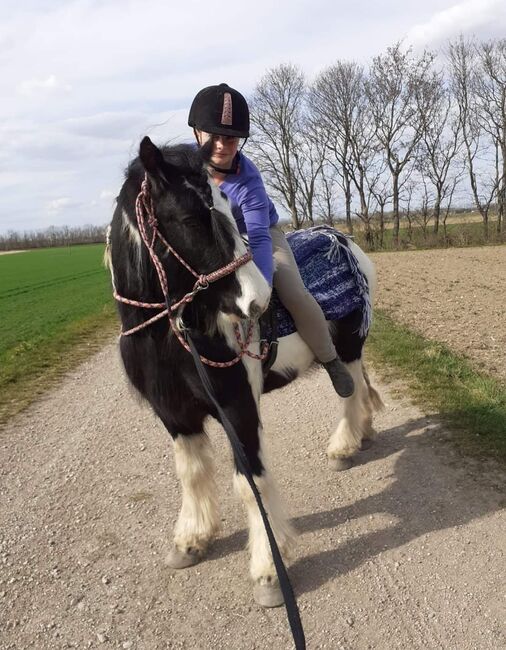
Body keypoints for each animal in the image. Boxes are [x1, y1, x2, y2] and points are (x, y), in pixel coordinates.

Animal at [106, 137, 384, 608]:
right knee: (361, 391)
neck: (175, 333)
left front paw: (269, 571)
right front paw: (191, 541)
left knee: (349, 392)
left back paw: (343, 447)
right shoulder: (174, 414)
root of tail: (342, 237)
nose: (257, 300)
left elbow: (249, 482)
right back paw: (362, 438)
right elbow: (191, 472)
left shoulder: (238, 408)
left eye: (228, 209)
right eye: (188, 218)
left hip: (347, 346)